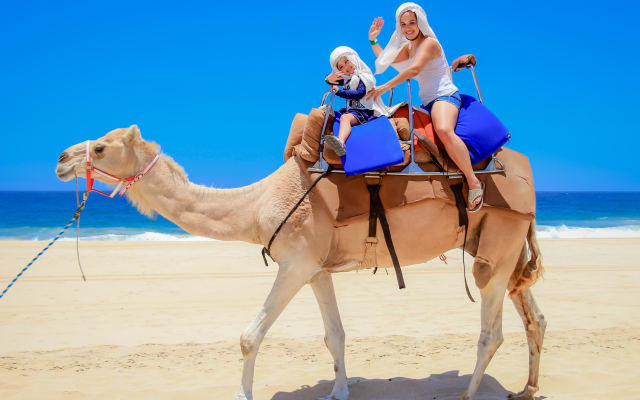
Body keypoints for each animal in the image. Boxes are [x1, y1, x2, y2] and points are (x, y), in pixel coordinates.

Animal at [55, 124, 546, 400]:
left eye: (101, 148)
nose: (61, 159)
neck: (255, 205)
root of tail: (526, 178)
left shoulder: (292, 264)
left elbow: (249, 336)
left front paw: (241, 394)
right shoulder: (315, 269)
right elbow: (335, 335)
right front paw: (339, 392)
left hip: (498, 243)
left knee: (491, 330)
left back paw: (467, 395)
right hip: (504, 245)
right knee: (533, 317)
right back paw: (527, 388)